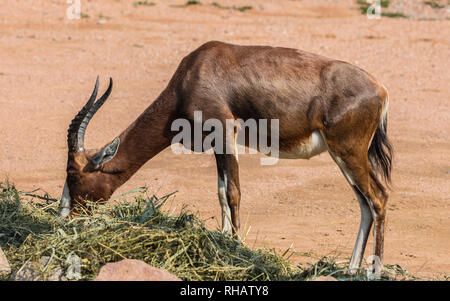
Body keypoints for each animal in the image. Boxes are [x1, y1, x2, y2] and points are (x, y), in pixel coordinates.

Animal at [59, 41, 390, 274]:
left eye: (74, 174)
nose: (65, 217)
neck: (195, 72)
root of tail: (381, 90)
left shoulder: (226, 133)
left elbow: (233, 192)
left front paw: (239, 252)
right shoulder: (216, 144)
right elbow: (220, 193)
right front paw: (225, 241)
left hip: (348, 152)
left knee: (378, 198)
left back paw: (372, 272)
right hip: (343, 156)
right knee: (364, 204)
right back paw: (351, 270)